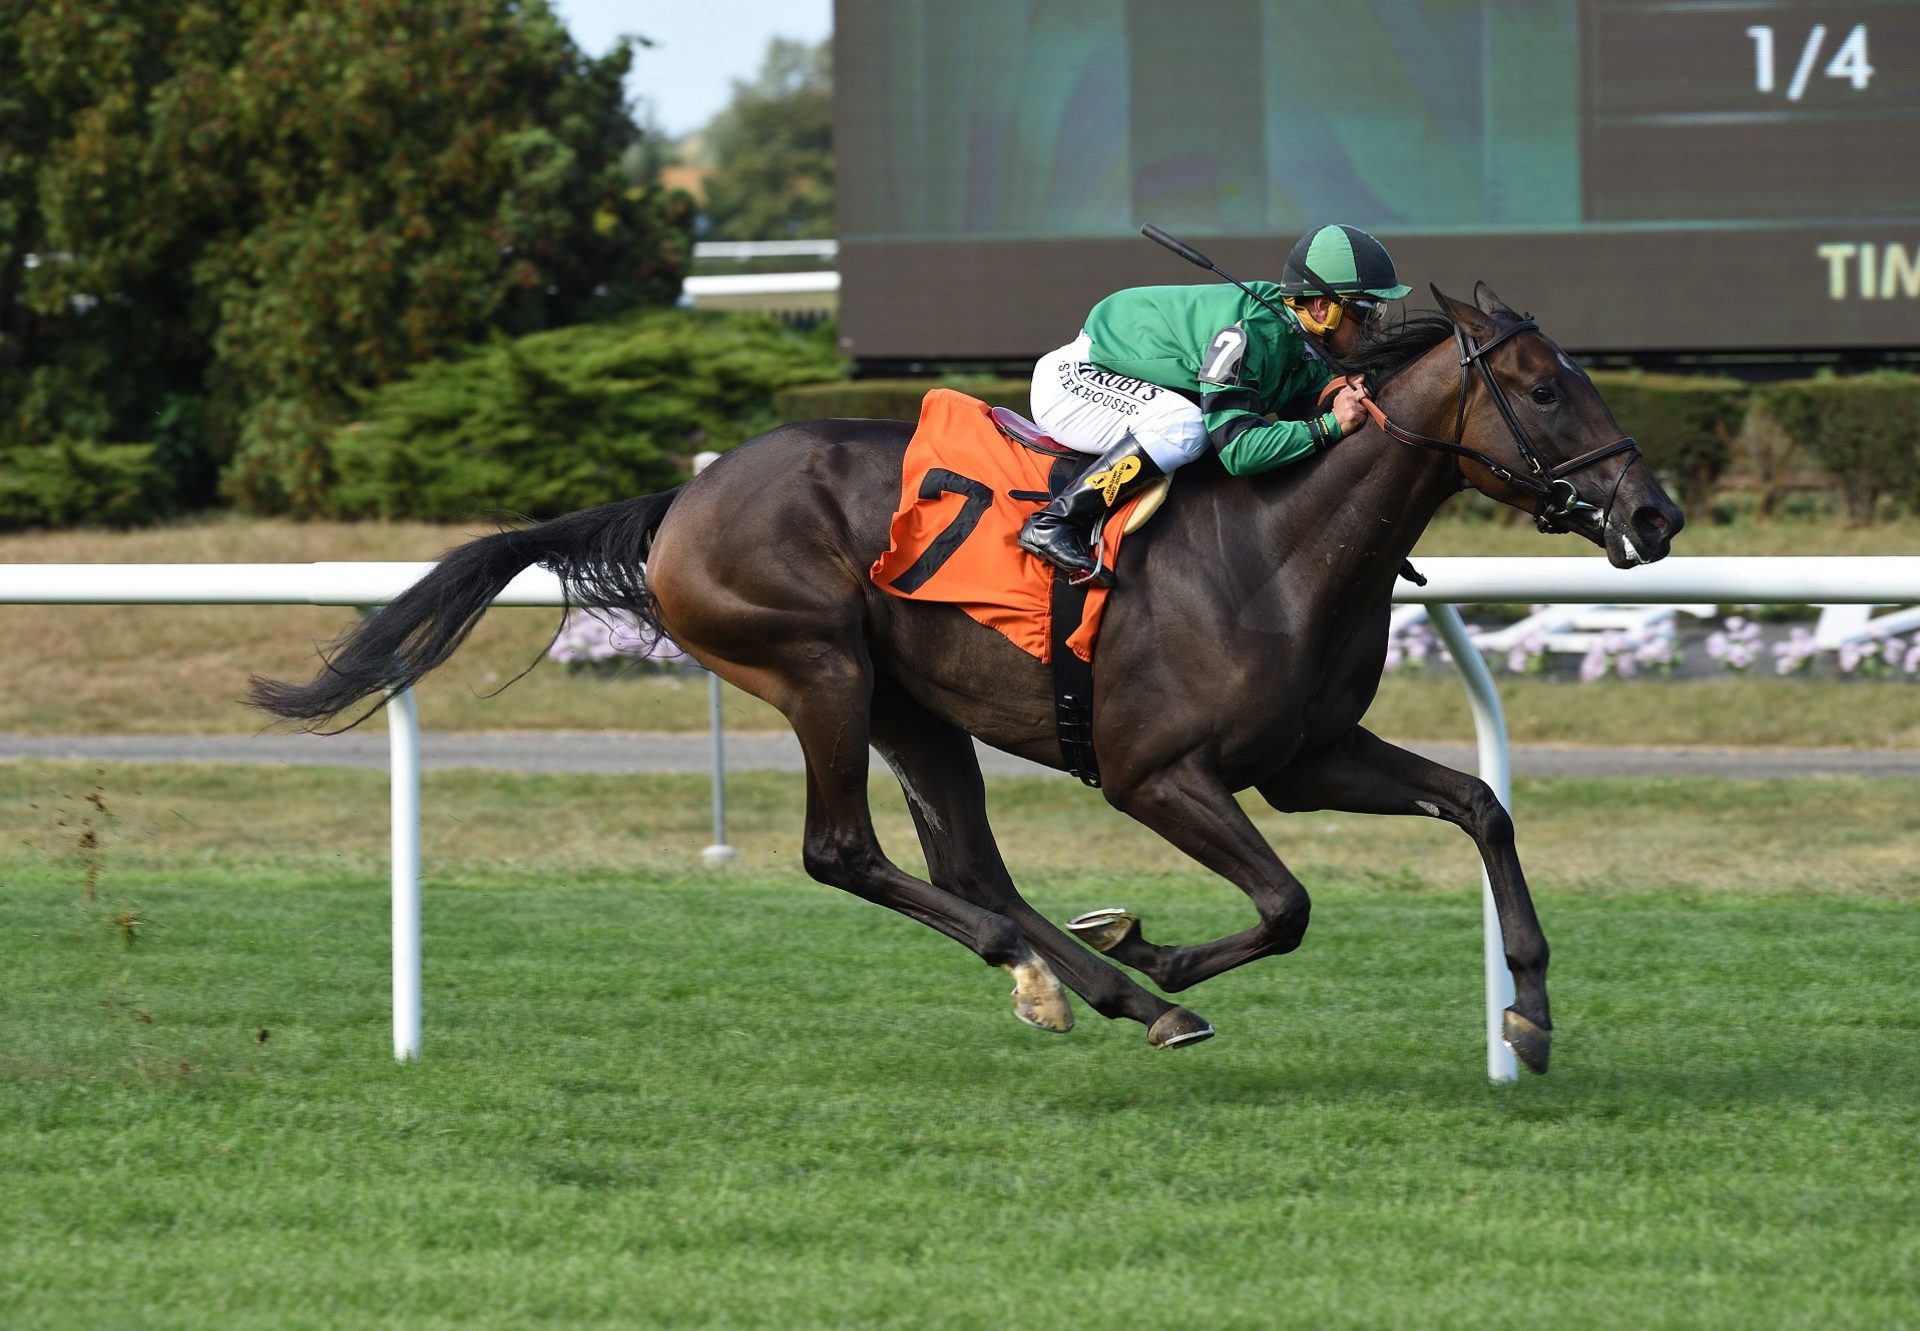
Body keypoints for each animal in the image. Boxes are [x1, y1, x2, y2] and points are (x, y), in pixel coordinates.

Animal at [251, 286, 1681, 1075]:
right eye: (1544, 387)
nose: (1655, 513)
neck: (1280, 545)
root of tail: (682, 498)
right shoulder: (1158, 773)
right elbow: (1285, 904)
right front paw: (1158, 939)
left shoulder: (1306, 758)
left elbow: (1480, 806)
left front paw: (1531, 1011)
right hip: (818, 664)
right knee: (847, 851)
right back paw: (1093, 977)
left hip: (913, 704)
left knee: (967, 866)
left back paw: (1098, 988)